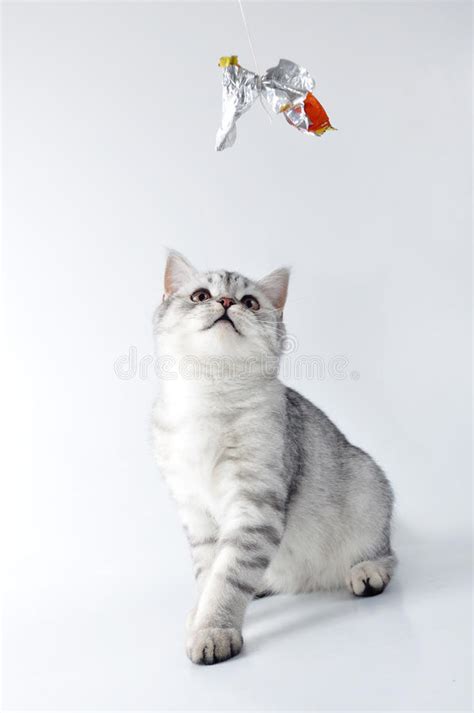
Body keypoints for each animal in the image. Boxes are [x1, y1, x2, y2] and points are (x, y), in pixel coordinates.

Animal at [153, 253, 396, 664]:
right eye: (201, 295)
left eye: (250, 302)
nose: (226, 302)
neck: (209, 395)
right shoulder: (196, 513)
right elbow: (209, 574)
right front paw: (201, 614)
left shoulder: (254, 508)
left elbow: (228, 578)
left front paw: (213, 630)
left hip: (370, 491)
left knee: (387, 553)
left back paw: (368, 573)